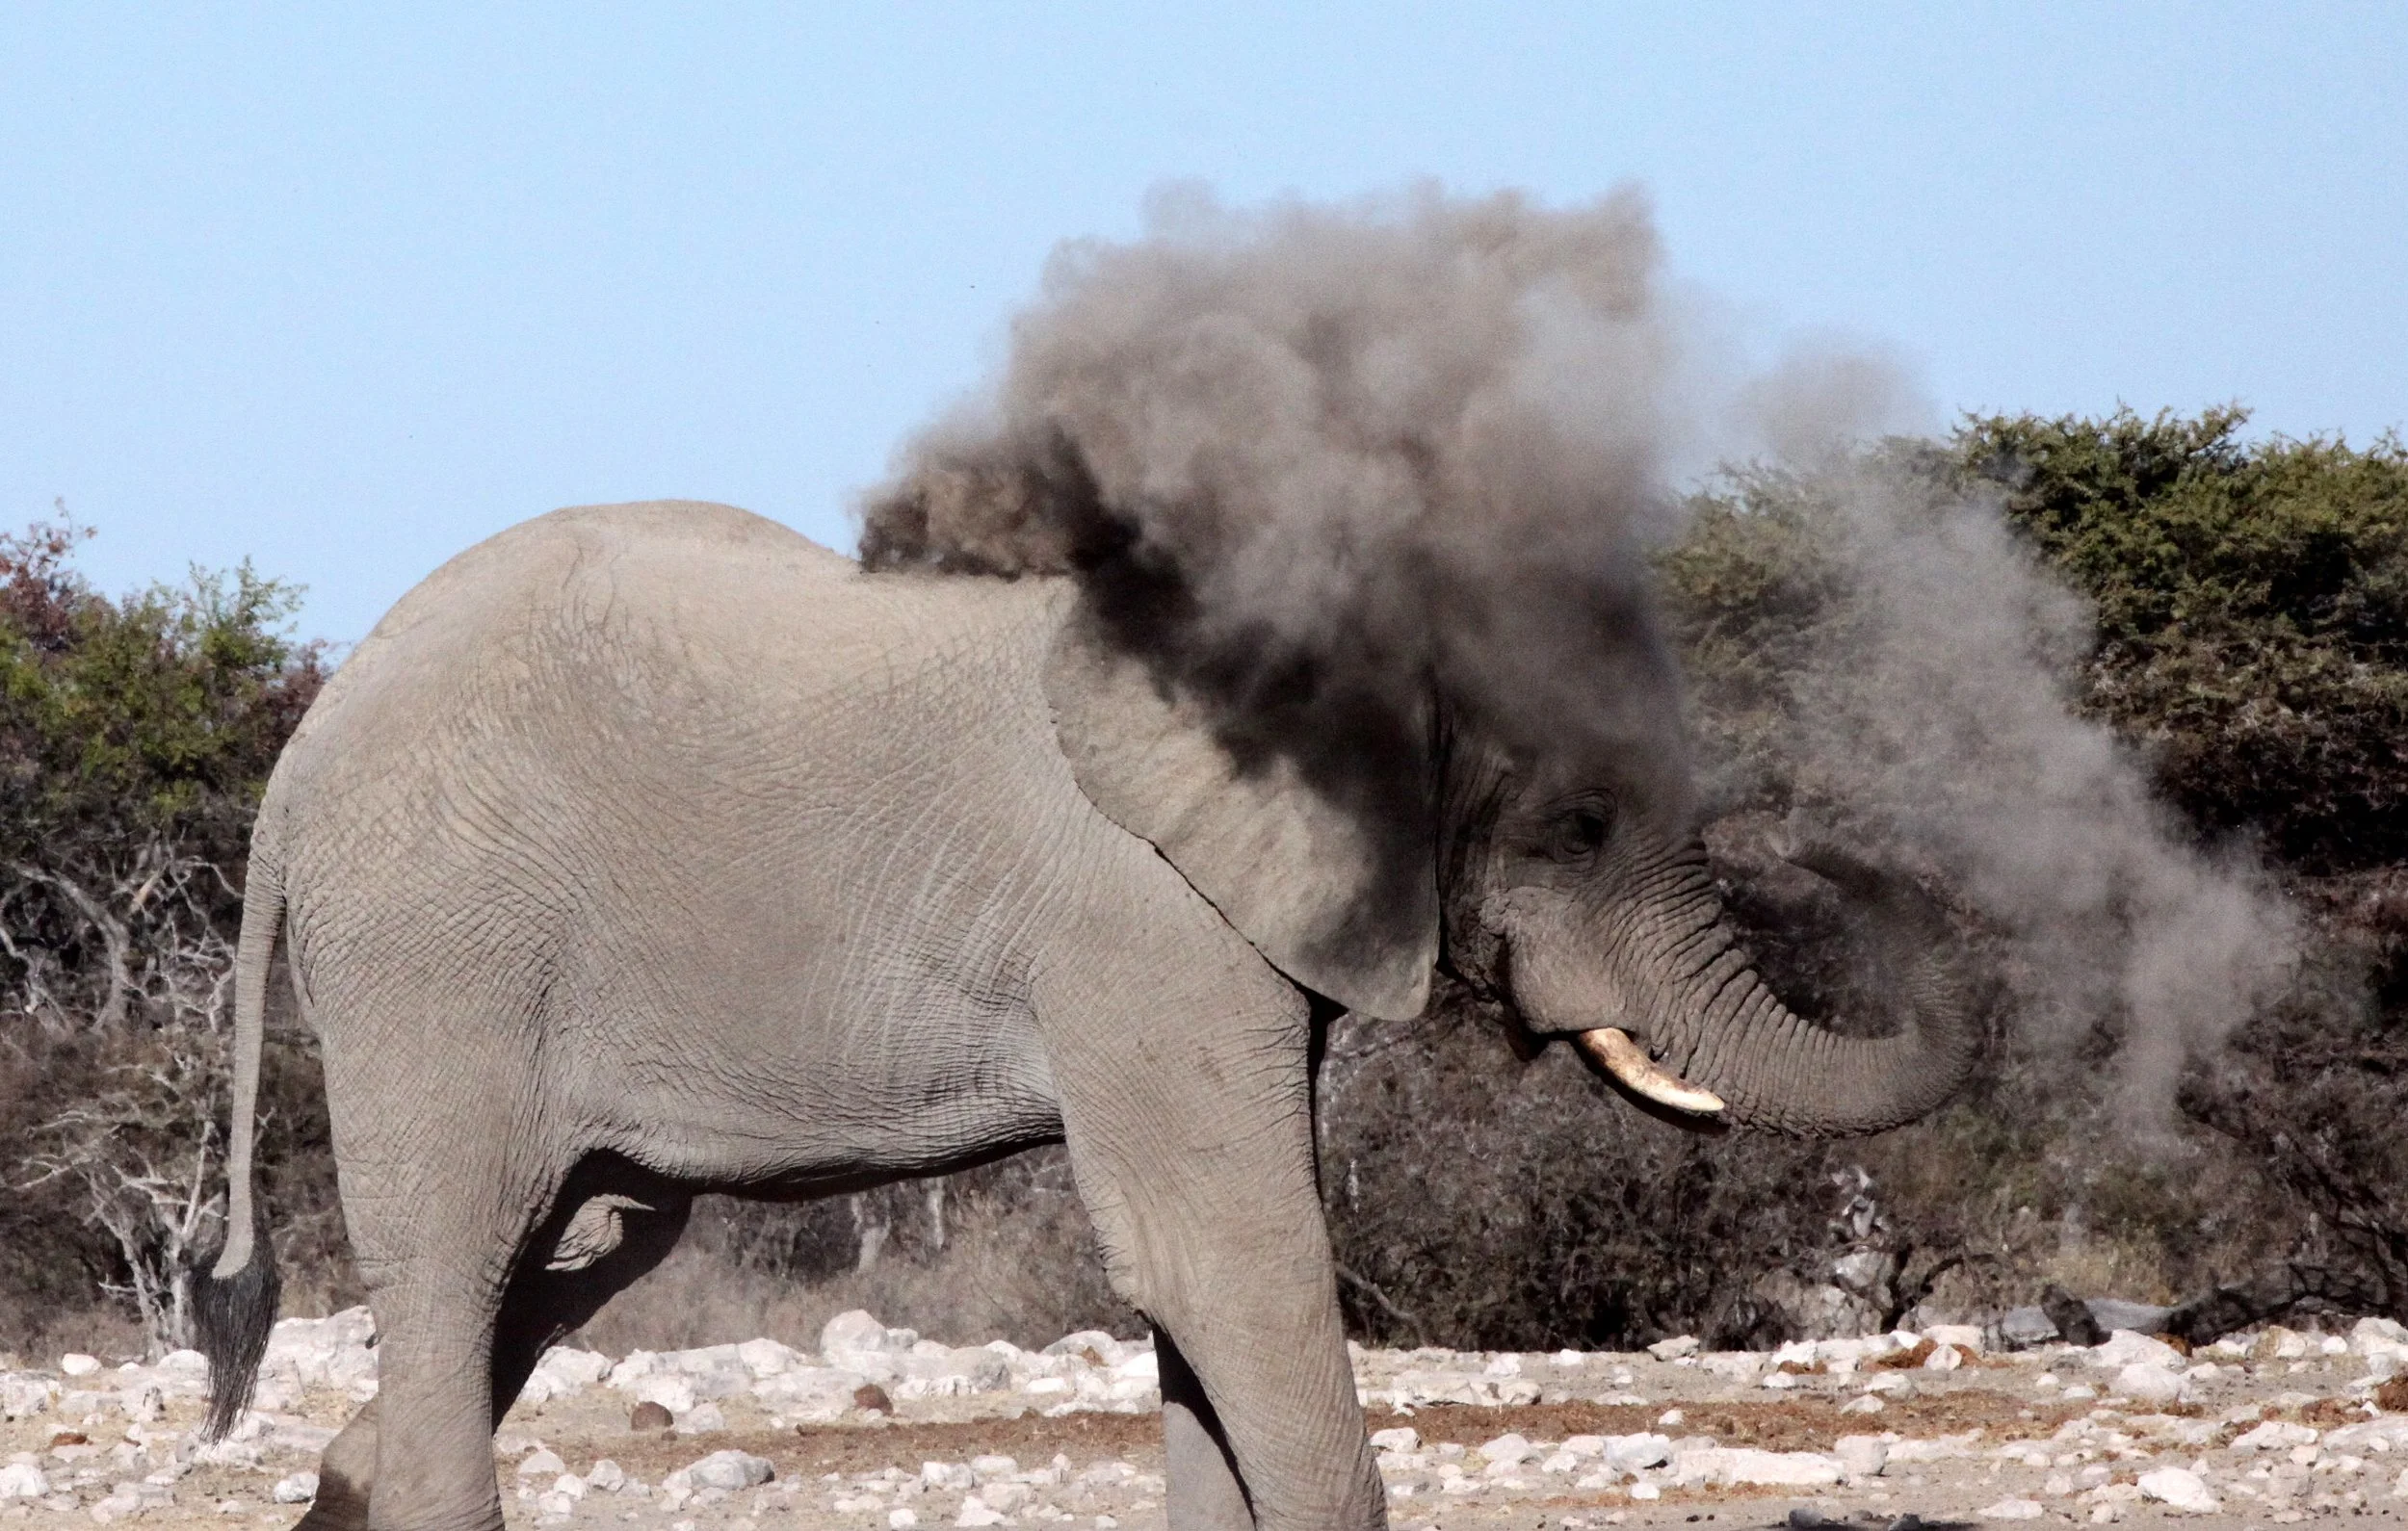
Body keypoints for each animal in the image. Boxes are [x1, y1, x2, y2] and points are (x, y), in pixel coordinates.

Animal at [193, 499, 1976, 1531]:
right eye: (1580, 829)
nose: (1860, 853)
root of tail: (301, 755)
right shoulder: (1148, 922)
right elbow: (1225, 1256)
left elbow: (1197, 1283)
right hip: (443, 959)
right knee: (459, 1262)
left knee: (573, 1252)